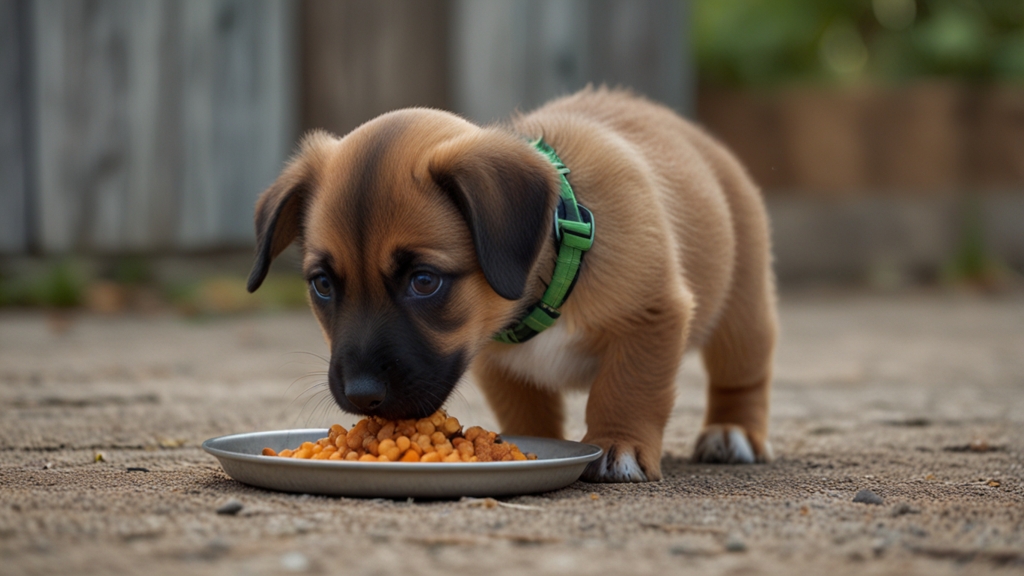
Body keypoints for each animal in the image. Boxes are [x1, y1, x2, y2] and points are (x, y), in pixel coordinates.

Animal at [245, 86, 774, 479]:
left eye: (424, 281)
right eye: (322, 285)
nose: (361, 395)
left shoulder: (651, 316)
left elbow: (627, 388)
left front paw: (616, 443)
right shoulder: (498, 362)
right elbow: (529, 412)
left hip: (743, 311)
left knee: (742, 376)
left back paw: (733, 432)